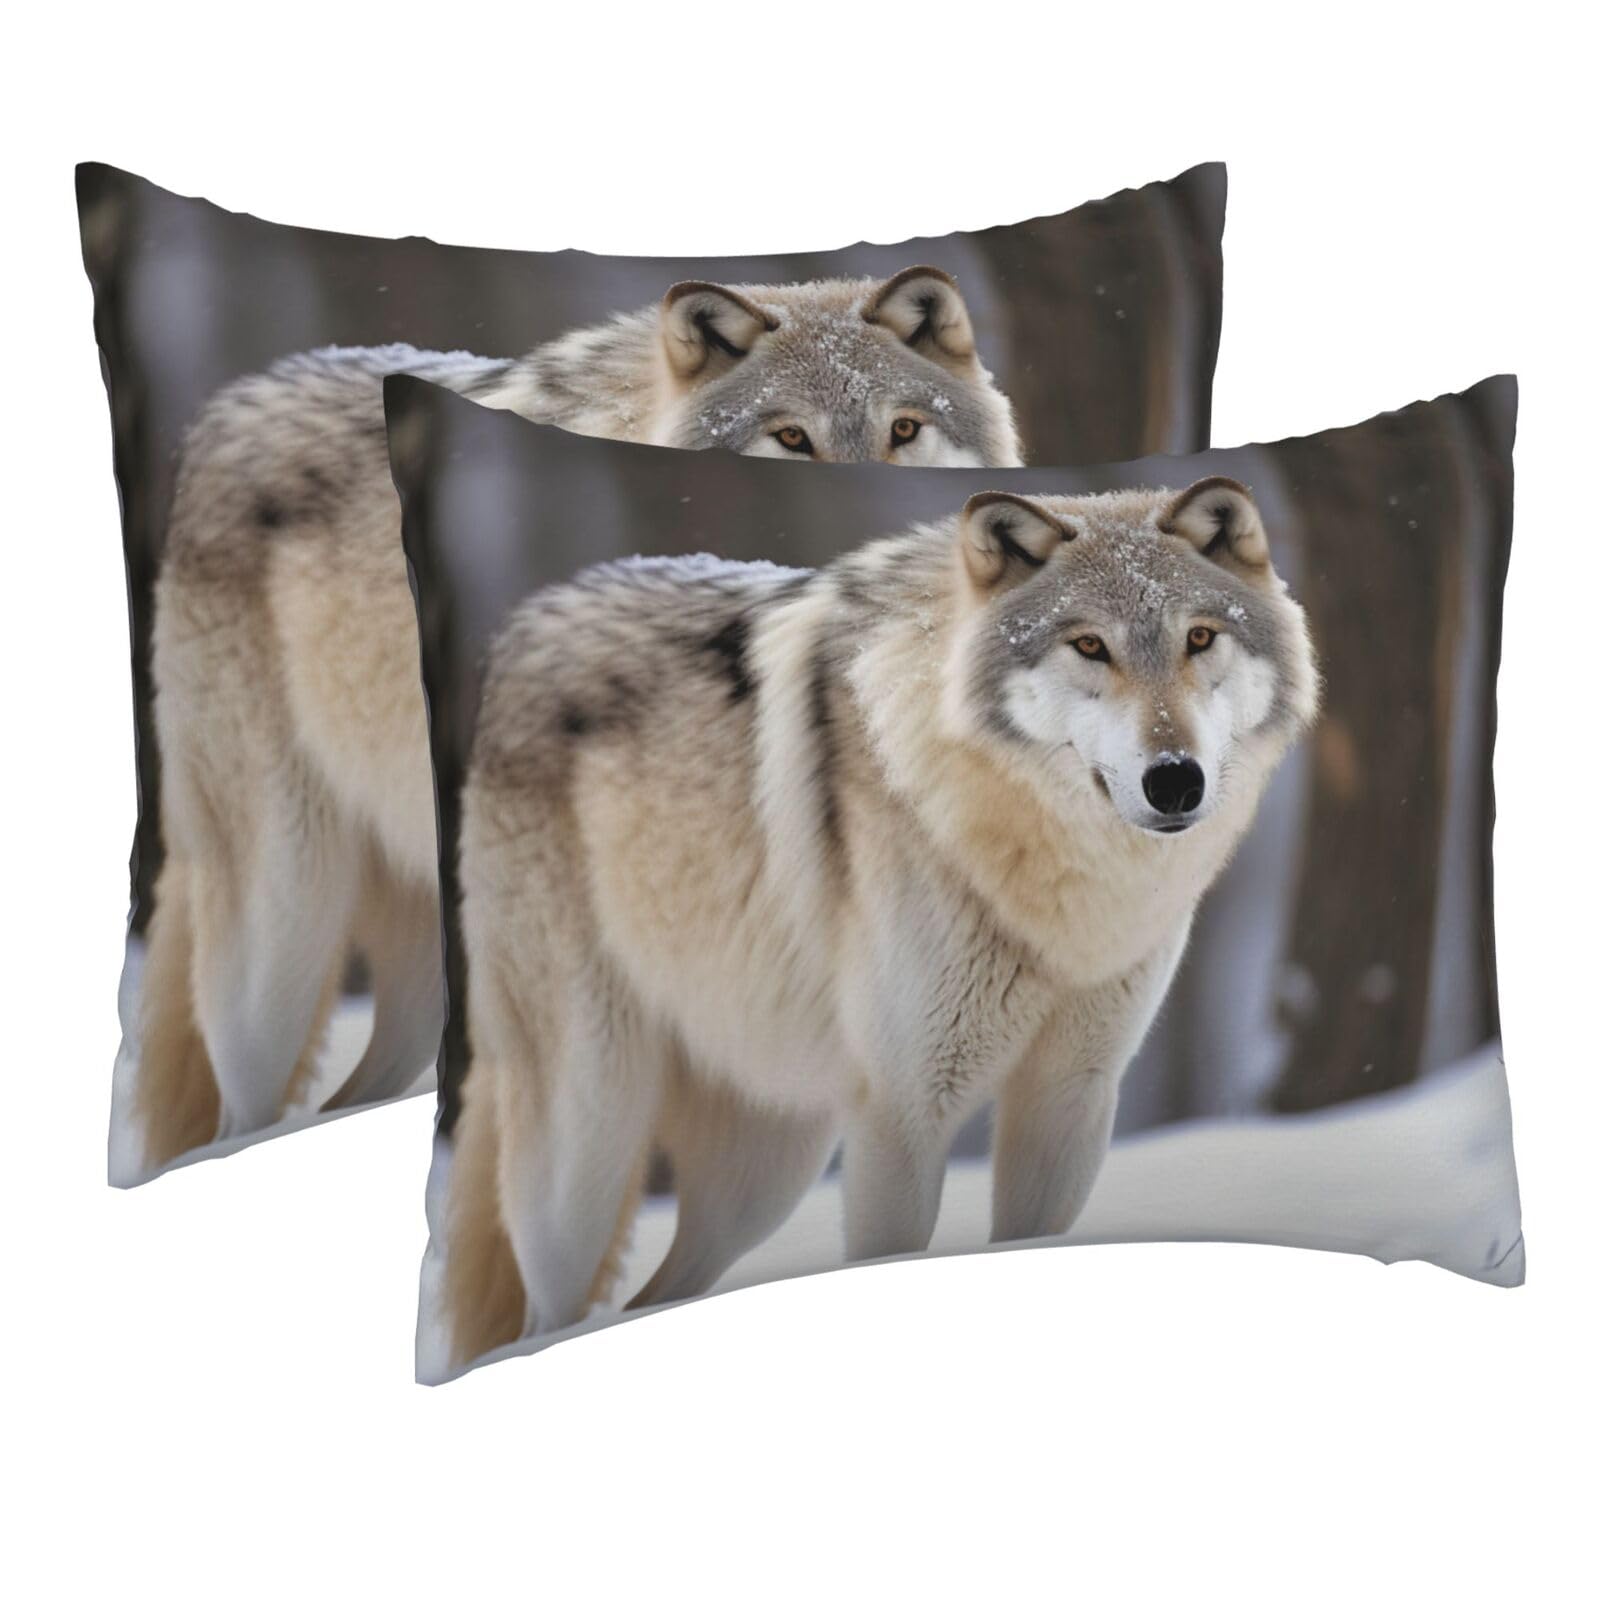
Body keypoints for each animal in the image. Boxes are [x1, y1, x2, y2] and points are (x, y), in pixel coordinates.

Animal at [440, 478, 1319, 1367]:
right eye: (1089, 646)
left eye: (1199, 637)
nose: (1175, 779)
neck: (1051, 894)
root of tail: (520, 627)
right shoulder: (904, 1112)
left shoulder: (1070, 1101)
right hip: (589, 1144)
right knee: (549, 1315)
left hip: (764, 1175)